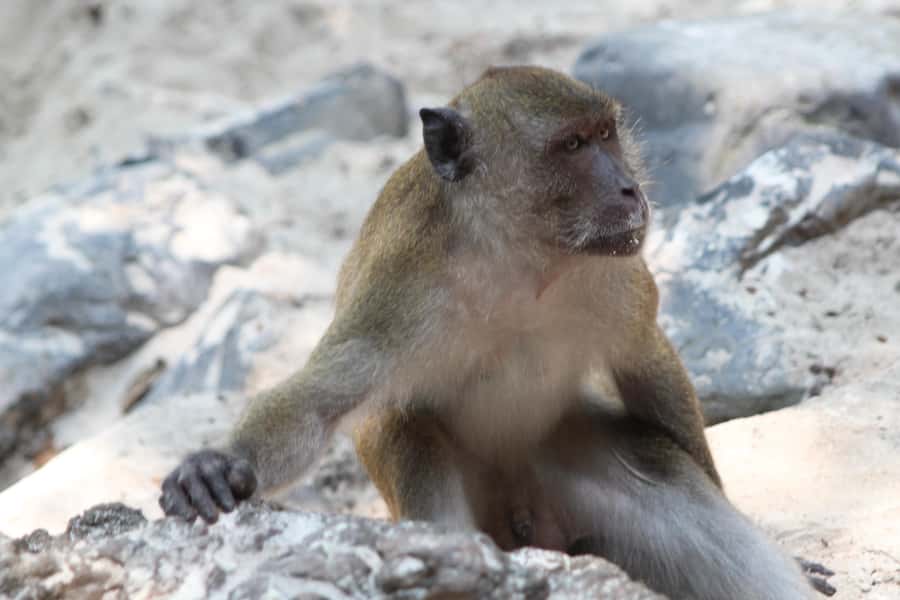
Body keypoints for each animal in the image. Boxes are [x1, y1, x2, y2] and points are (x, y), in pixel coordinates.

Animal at [160, 66, 825, 599]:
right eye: (572, 145)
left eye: (606, 134)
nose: (629, 188)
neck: (516, 256)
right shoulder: (396, 290)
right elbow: (320, 400)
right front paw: (218, 466)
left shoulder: (617, 272)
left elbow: (644, 362)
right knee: (411, 442)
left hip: (566, 451)